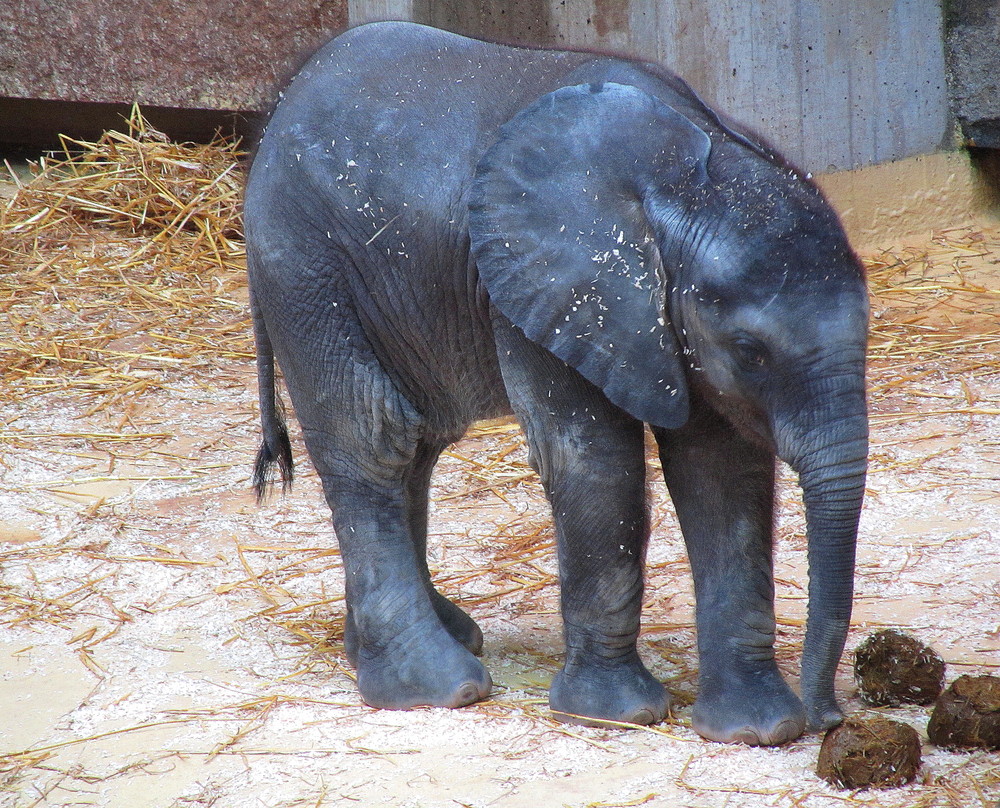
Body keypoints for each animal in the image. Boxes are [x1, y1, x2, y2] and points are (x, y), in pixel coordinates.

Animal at [244, 22, 868, 748]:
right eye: (751, 350)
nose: (833, 718)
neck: (683, 181)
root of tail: (274, 113)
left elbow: (722, 470)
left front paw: (756, 731)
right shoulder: (547, 288)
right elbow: (594, 461)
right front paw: (617, 713)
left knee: (416, 446)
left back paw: (436, 641)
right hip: (304, 267)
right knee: (372, 436)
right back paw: (439, 687)